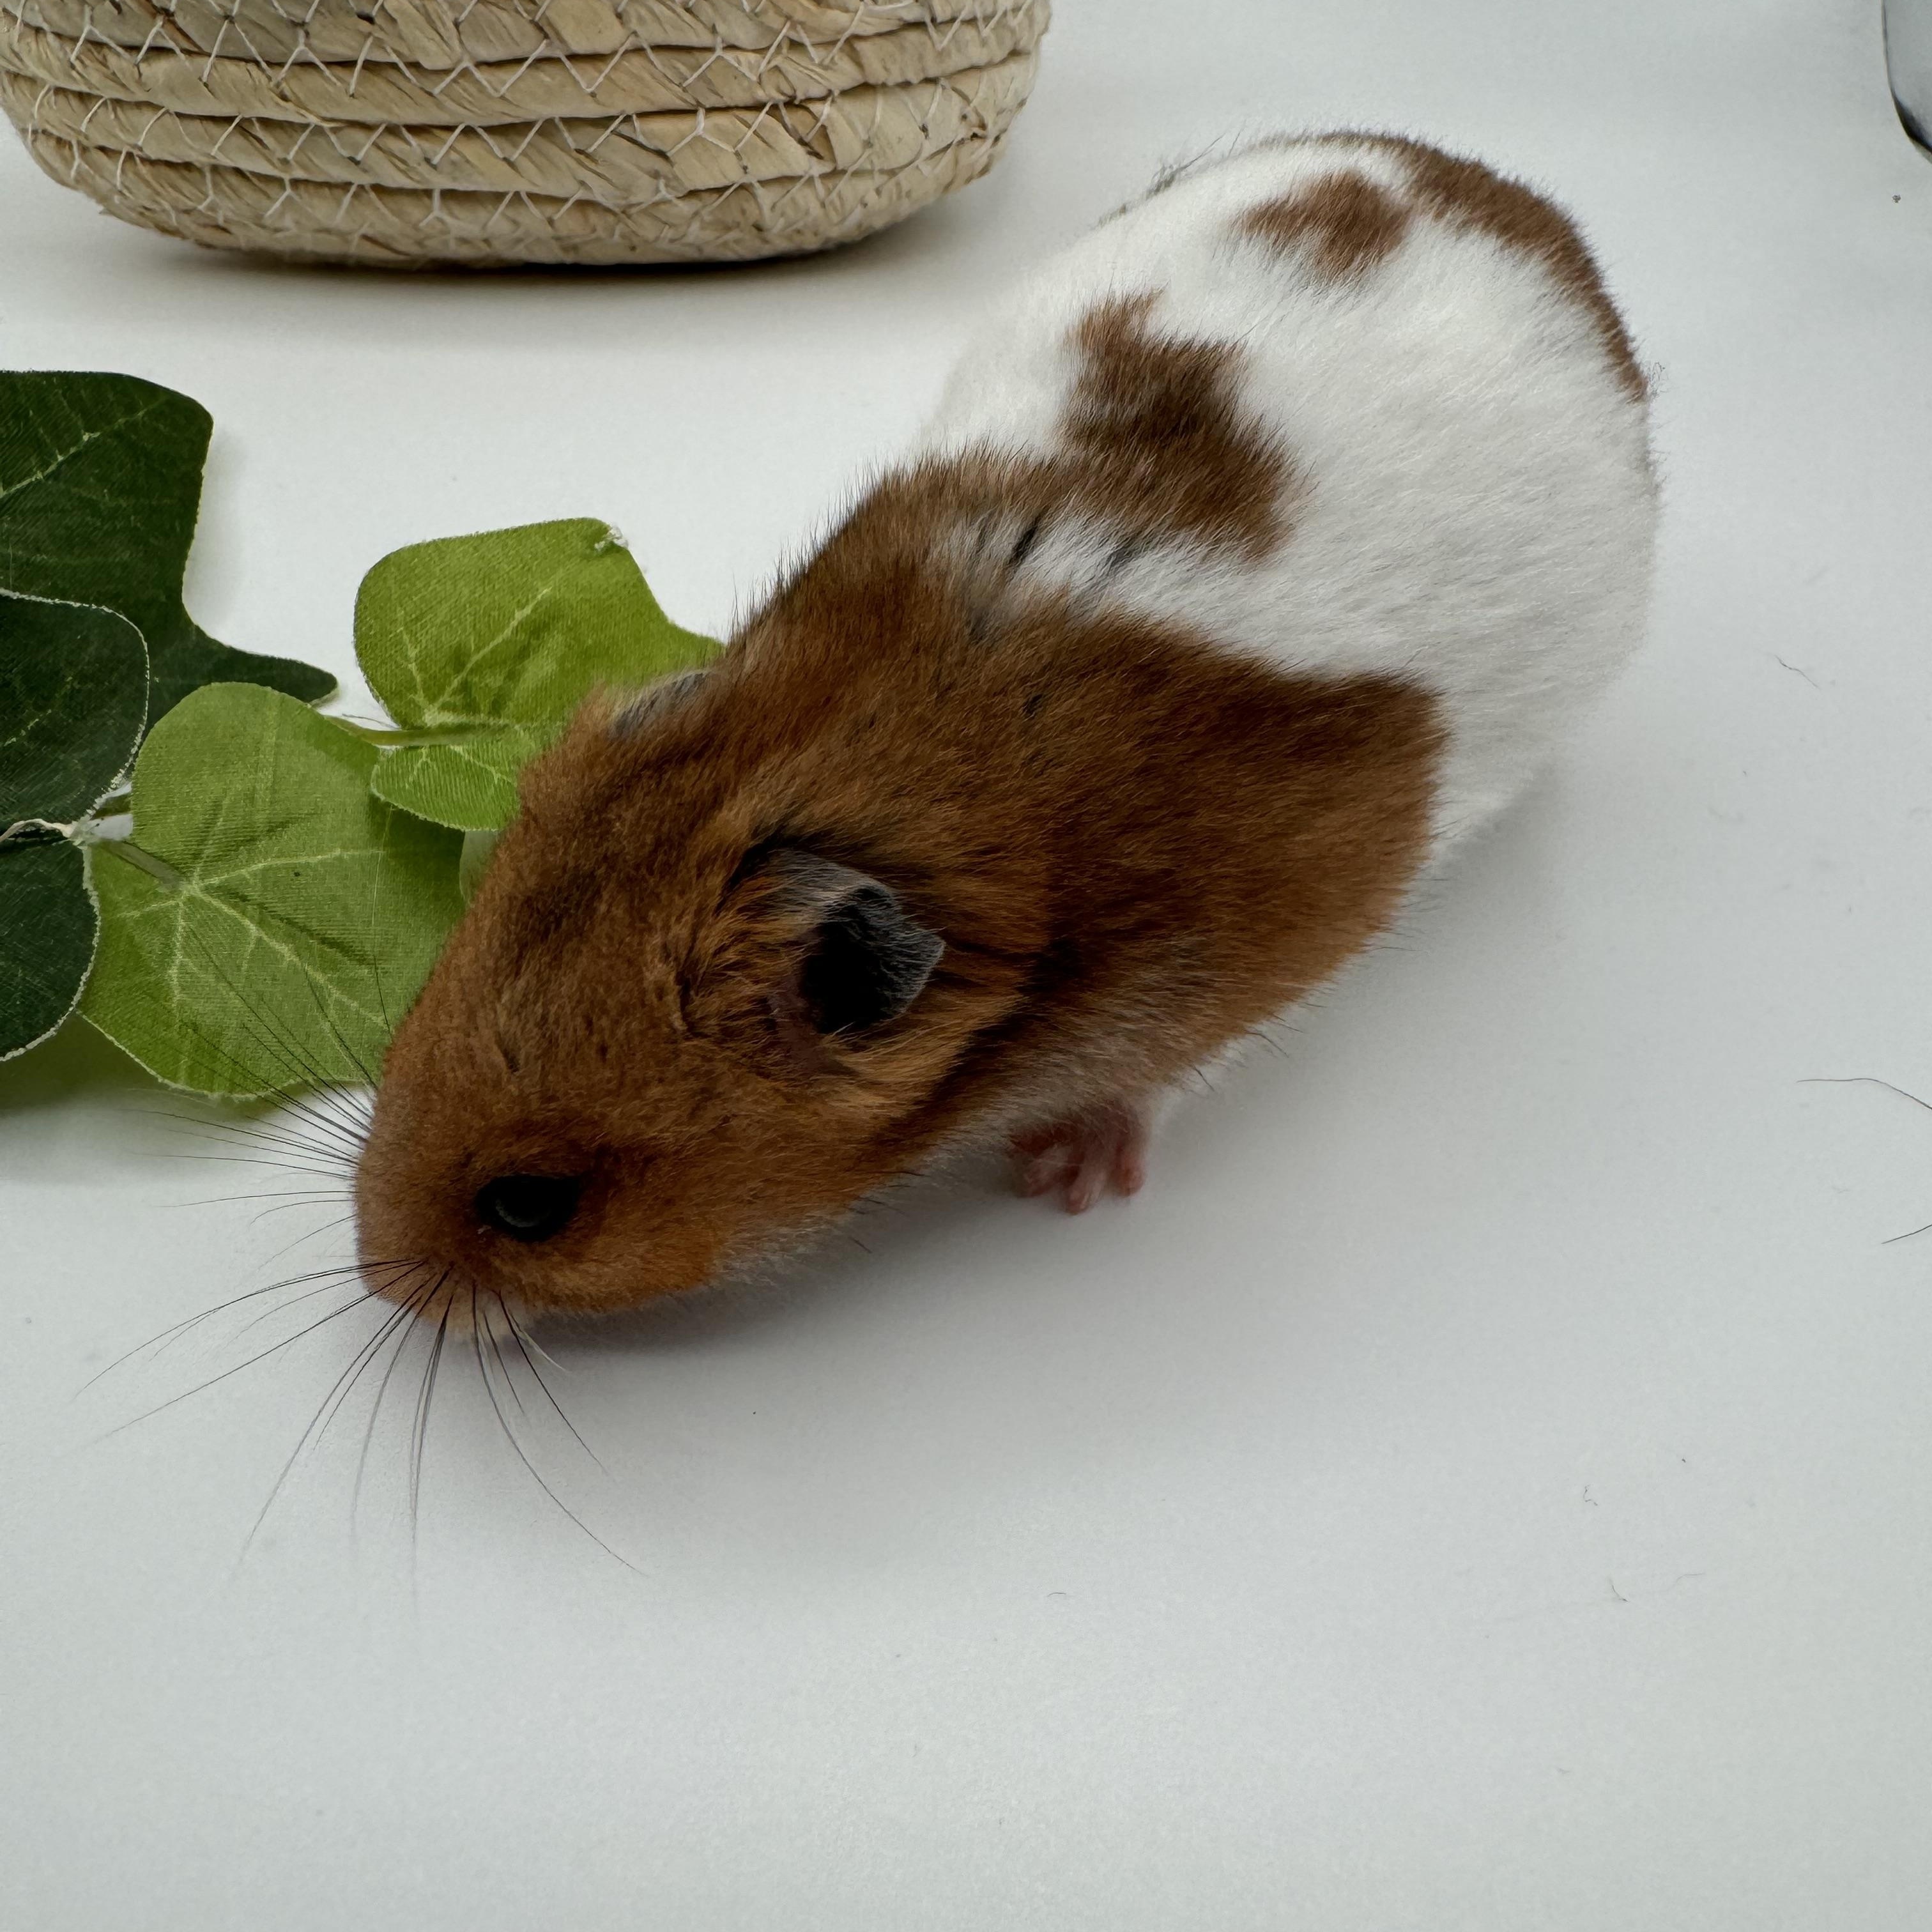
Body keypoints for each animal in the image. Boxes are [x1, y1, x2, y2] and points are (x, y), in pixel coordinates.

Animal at [354, 132, 1657, 1320]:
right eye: (405, 1026)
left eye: (530, 1205)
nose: (373, 1274)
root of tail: (1537, 219)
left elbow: (1155, 1079)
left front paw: (1060, 1180)